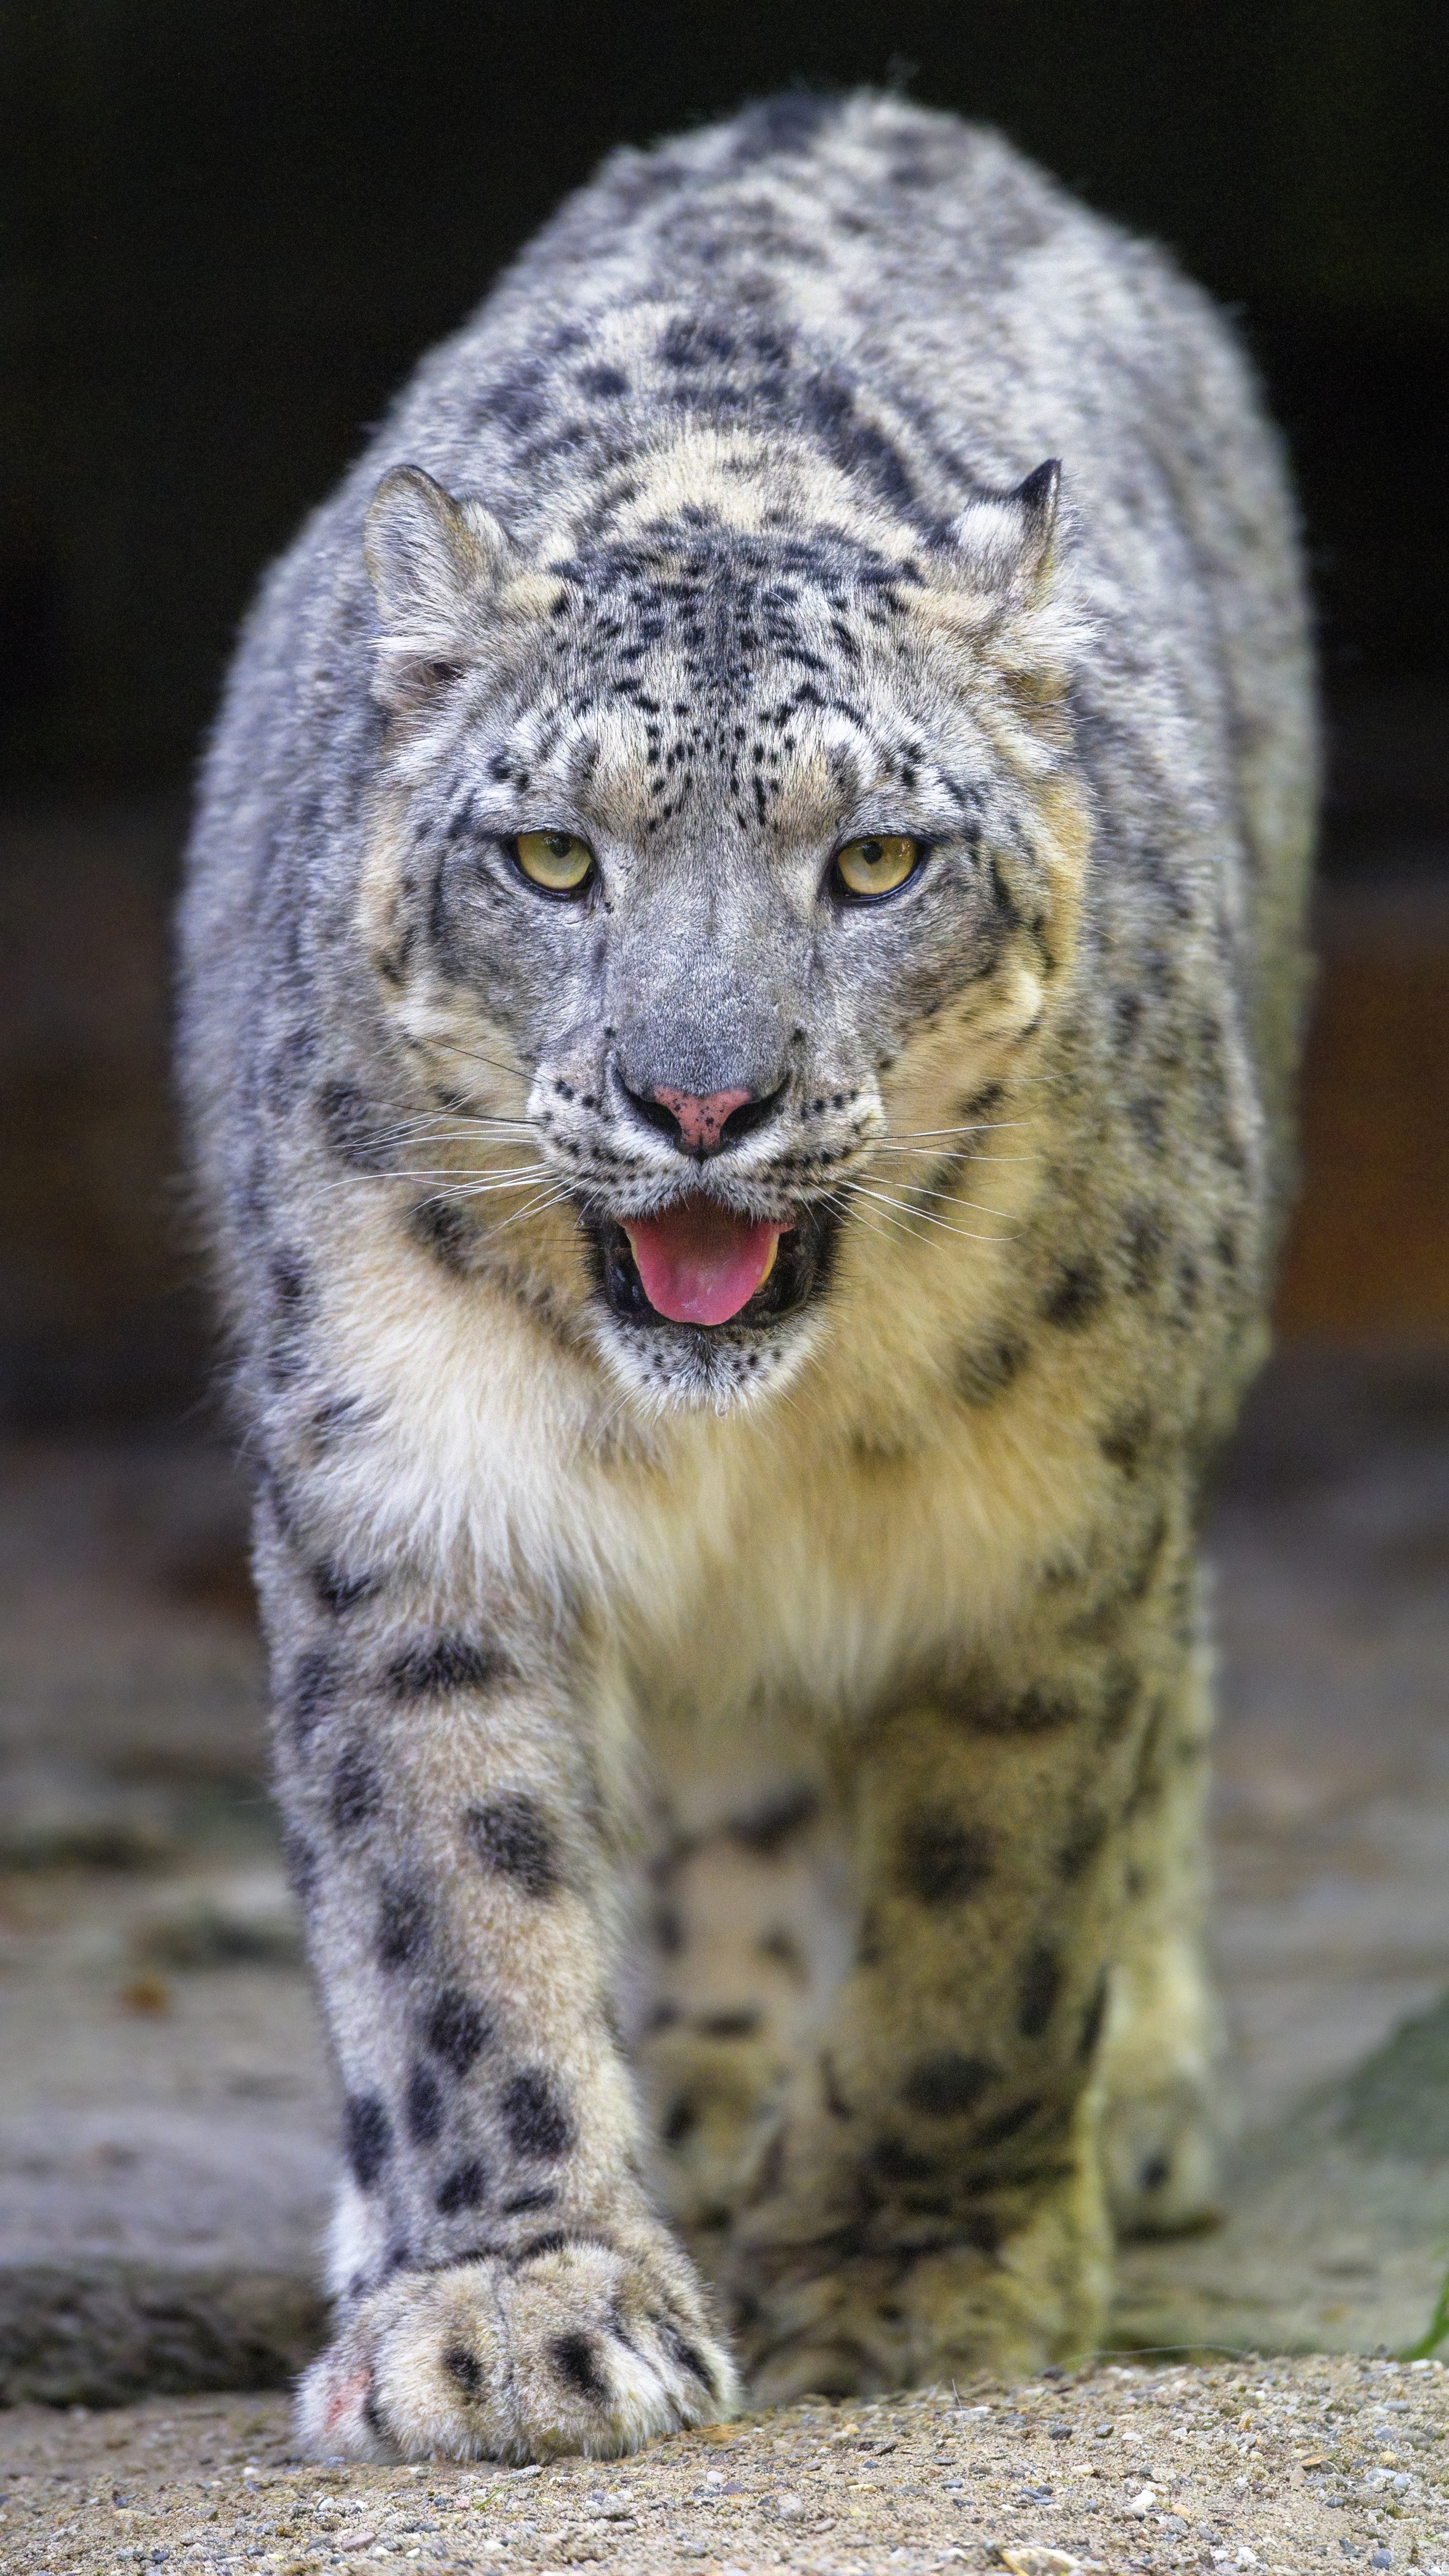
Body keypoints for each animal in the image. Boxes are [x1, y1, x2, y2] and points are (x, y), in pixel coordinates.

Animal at [178, 89, 1316, 2463]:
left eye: (873, 859)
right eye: (550, 854)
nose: (698, 1098)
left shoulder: (1045, 1534)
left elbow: (990, 1925)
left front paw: (912, 2282)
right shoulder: (412, 1486)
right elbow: (458, 1899)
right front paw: (514, 2313)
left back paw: (1141, 2095)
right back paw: (682, 2089)